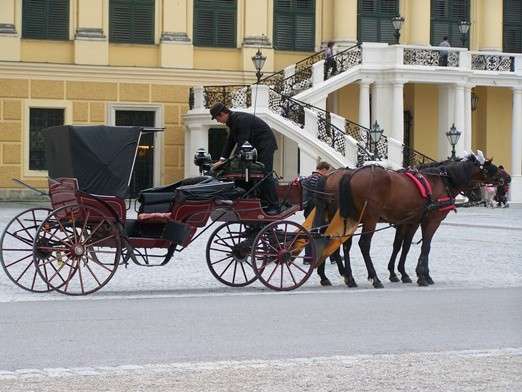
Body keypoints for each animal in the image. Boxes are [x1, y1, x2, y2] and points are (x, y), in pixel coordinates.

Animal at [312, 153, 496, 288]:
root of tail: (349, 175)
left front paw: (399, 273)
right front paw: (422, 275)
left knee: (340, 242)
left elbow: (401, 246)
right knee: (362, 244)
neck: (437, 181)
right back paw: (373, 278)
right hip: (369, 217)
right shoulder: (430, 221)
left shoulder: (409, 221)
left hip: (346, 217)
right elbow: (425, 246)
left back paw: (345, 277)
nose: (504, 179)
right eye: (489, 171)